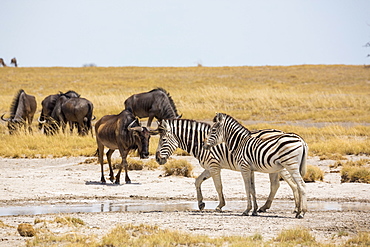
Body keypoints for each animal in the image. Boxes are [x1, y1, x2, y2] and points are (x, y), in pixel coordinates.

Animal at [155, 118, 302, 213]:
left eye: (163, 140)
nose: (157, 158)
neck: (201, 144)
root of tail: (281, 132)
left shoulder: (213, 165)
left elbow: (218, 186)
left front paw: (220, 205)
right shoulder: (210, 167)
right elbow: (197, 181)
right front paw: (201, 203)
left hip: (281, 165)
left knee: (291, 183)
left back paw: (295, 208)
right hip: (275, 167)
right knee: (276, 185)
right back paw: (266, 207)